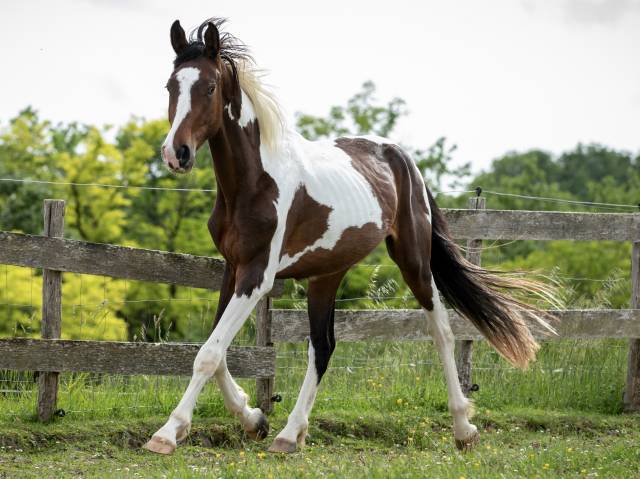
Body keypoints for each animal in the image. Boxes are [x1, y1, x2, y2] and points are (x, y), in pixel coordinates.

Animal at [143, 18, 554, 455]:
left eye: (208, 88)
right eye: (170, 86)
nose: (176, 153)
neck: (254, 181)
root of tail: (402, 157)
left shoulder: (257, 276)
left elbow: (209, 353)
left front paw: (167, 433)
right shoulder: (233, 268)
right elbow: (216, 350)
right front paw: (253, 419)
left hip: (413, 260)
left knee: (441, 331)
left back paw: (464, 429)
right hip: (327, 275)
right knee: (323, 347)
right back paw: (290, 434)